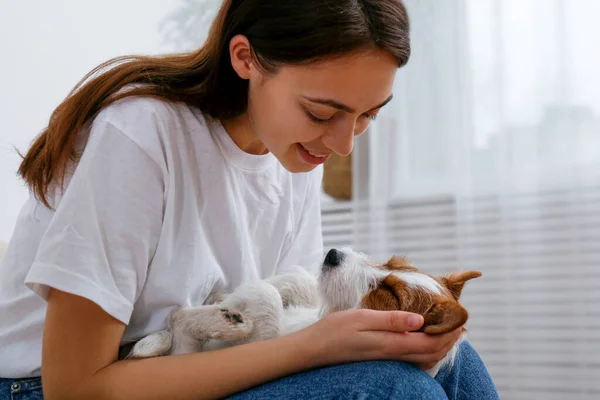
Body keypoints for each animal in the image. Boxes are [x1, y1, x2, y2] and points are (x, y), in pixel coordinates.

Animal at [127, 248, 478, 376]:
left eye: (389, 293)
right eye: (391, 262)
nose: (333, 253)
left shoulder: (260, 342)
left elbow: (266, 298)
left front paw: (241, 302)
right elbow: (299, 282)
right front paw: (230, 295)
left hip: (187, 354)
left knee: (179, 324)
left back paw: (226, 320)